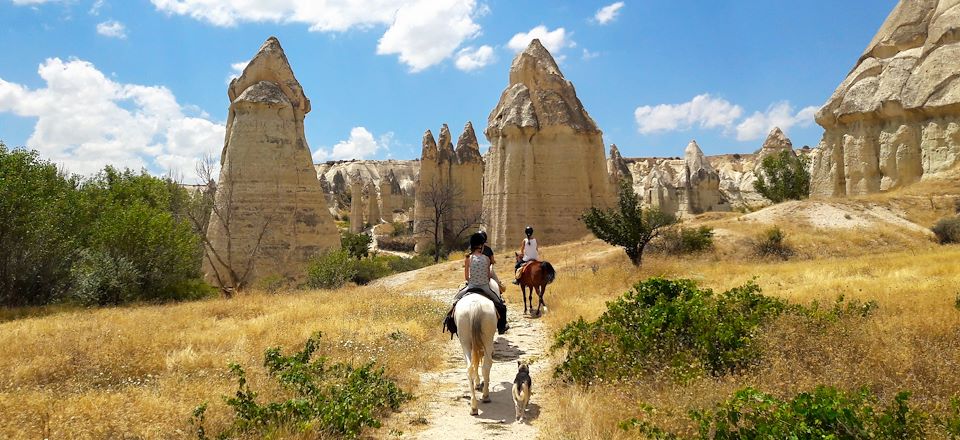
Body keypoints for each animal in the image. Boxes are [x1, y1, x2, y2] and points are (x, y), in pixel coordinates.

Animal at [452, 280, 498, 414]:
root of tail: (475, 306)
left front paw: (477, 383)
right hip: (487, 340)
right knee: (485, 365)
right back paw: (484, 397)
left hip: (466, 343)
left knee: (471, 368)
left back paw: (474, 405)